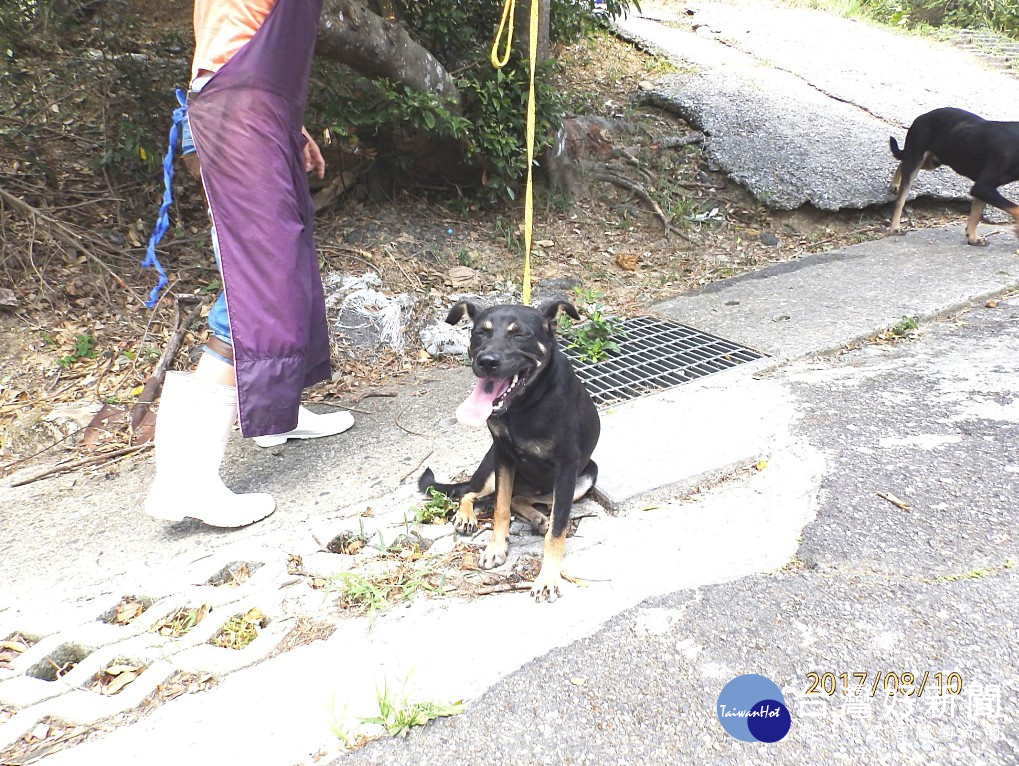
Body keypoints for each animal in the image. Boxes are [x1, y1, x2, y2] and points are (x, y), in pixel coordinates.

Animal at [417, 301, 599, 603]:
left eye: (520, 334)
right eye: (480, 332)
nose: (487, 361)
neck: (522, 406)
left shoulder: (566, 468)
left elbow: (556, 530)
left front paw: (547, 579)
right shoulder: (503, 455)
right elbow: (501, 508)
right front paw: (496, 548)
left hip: (585, 477)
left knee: (523, 499)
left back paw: (538, 518)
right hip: (490, 467)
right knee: (472, 493)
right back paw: (467, 516)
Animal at [888, 107, 1019, 243]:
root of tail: (922, 116)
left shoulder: (984, 189)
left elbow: (976, 214)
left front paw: (973, 238)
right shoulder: (982, 187)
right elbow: (1016, 208)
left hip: (932, 161)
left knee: (902, 162)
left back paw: (895, 184)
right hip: (916, 159)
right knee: (900, 199)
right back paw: (895, 227)